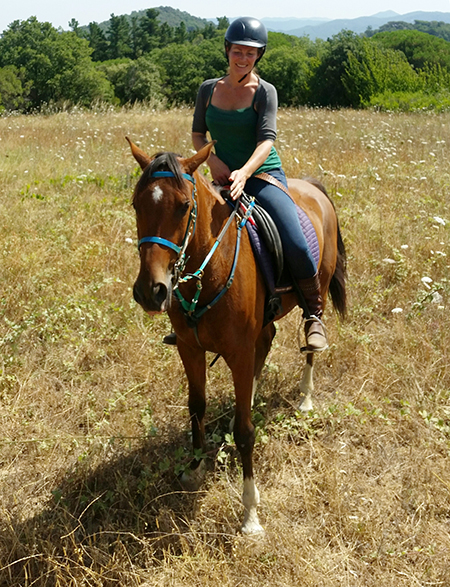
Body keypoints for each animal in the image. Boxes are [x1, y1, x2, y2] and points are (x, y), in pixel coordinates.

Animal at [127, 140, 348, 536]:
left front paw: (250, 514)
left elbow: (247, 433)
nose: (151, 291)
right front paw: (195, 468)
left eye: (183, 206)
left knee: (311, 336)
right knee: (267, 340)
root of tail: (312, 188)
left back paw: (306, 396)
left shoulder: (239, 353)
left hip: (318, 289)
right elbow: (196, 408)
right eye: (137, 204)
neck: (207, 272)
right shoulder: (190, 349)